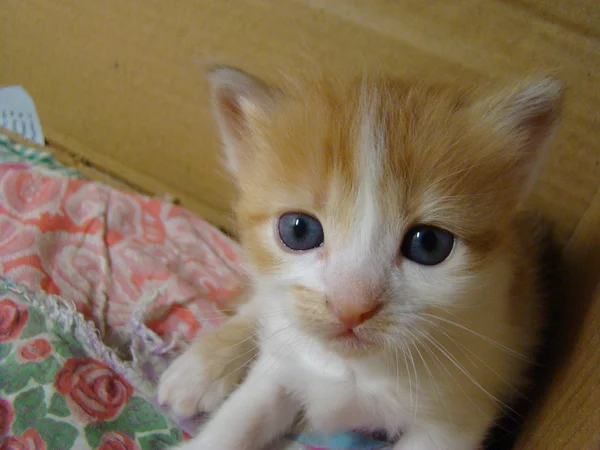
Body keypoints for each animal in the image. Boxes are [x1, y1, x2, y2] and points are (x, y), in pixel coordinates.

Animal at [159, 67, 564, 450]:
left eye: (430, 244)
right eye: (298, 230)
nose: (351, 307)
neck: (350, 369)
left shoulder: (458, 415)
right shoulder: (280, 366)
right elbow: (243, 414)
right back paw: (197, 370)